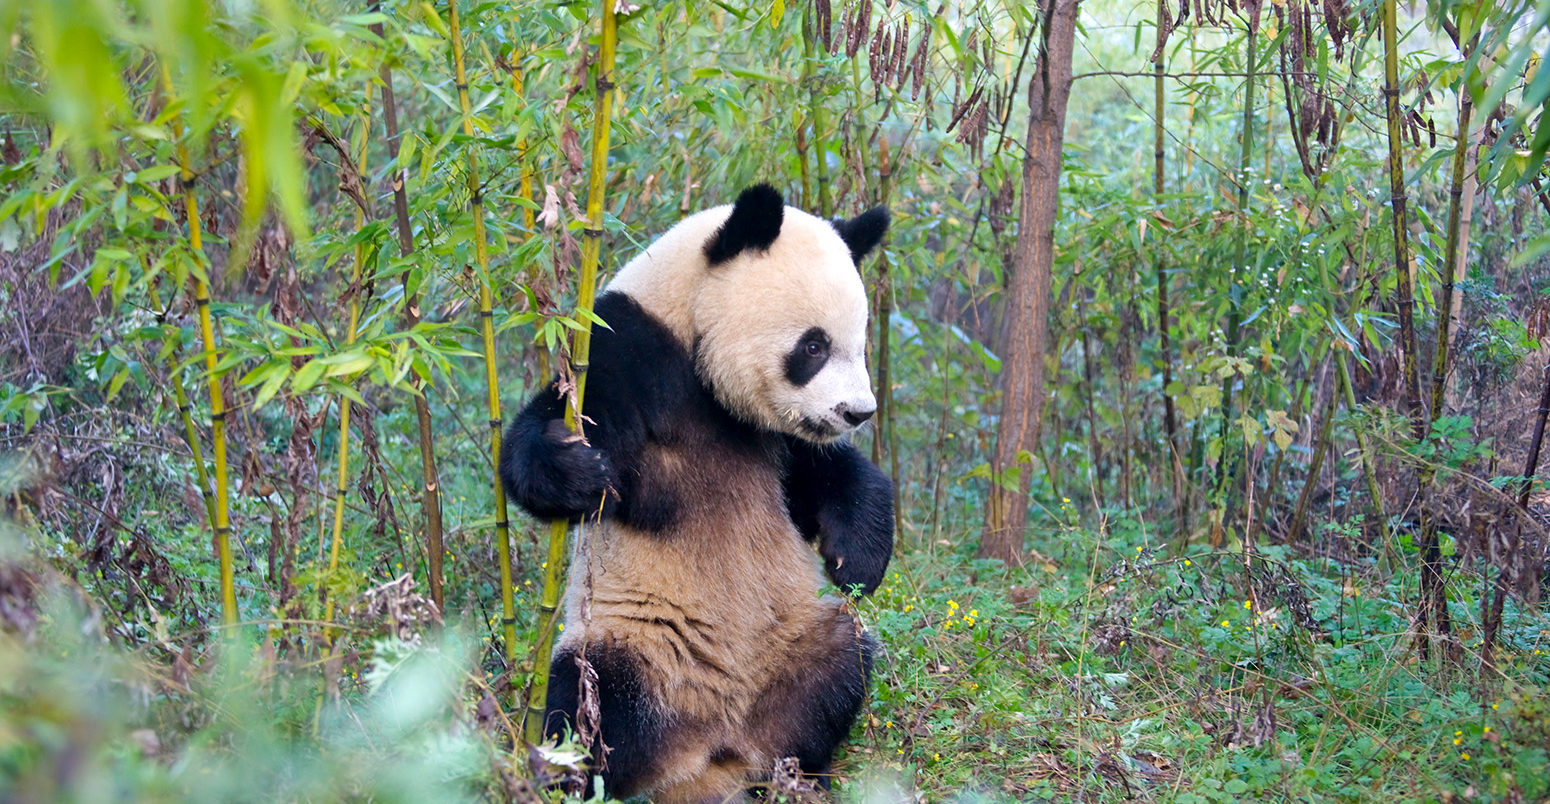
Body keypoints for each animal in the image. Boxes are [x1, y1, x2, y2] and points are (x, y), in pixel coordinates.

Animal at [502, 185, 892, 799]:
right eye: (813, 347)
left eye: (859, 346)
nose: (857, 412)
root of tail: (709, 751)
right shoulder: (626, 354)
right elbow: (551, 430)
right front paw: (577, 468)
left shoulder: (775, 436)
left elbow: (823, 478)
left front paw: (858, 559)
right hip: (634, 645)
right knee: (586, 702)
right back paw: (574, 775)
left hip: (790, 643)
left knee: (842, 661)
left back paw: (792, 772)